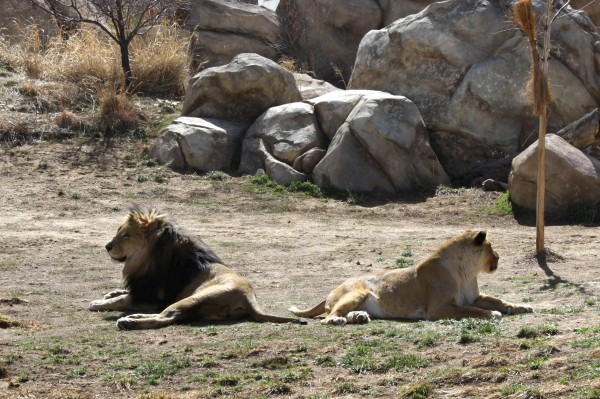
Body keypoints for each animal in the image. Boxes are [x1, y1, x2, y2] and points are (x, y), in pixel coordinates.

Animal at [88, 208, 304, 330]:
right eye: (118, 232)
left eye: (125, 235)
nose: (107, 246)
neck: (147, 258)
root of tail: (248, 296)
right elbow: (122, 292)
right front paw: (110, 293)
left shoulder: (152, 299)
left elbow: (122, 299)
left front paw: (98, 302)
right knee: (173, 317)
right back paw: (132, 319)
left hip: (193, 298)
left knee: (165, 317)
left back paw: (129, 321)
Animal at [288, 231, 532, 324]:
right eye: (491, 247)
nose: (499, 257)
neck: (467, 271)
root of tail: (332, 288)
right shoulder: (438, 308)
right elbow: (468, 310)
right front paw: (491, 314)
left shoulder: (475, 296)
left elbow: (498, 300)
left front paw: (523, 307)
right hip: (357, 292)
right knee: (328, 317)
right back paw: (339, 320)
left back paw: (359, 317)